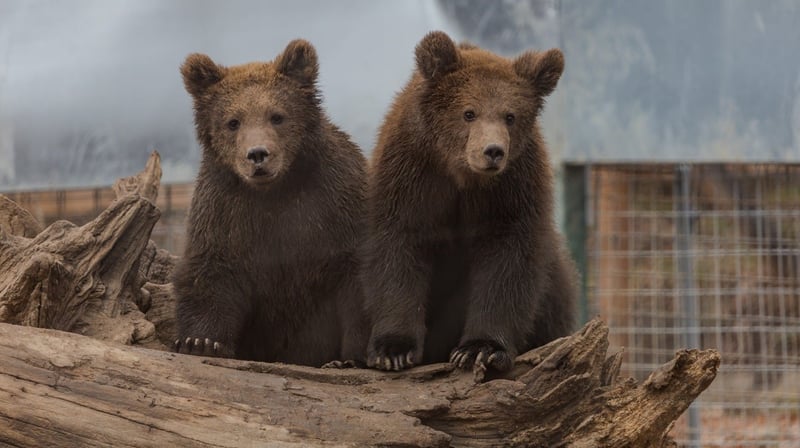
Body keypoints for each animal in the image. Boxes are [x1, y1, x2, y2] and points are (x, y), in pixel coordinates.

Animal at [173, 39, 368, 367]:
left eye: (277, 115)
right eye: (233, 122)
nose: (257, 154)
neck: (274, 191)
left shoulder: (335, 199)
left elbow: (360, 273)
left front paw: (352, 358)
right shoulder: (224, 209)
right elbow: (211, 270)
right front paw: (200, 341)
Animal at [363, 31, 577, 373]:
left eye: (510, 116)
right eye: (468, 112)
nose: (492, 151)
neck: (463, 177)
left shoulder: (511, 191)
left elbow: (507, 262)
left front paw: (480, 348)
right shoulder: (411, 178)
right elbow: (397, 249)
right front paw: (393, 348)